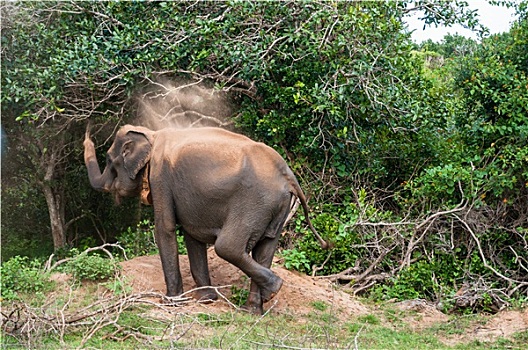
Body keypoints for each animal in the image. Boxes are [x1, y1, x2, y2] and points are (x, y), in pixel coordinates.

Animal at [84, 123, 328, 314]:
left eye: (109, 161)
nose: (87, 133)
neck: (151, 135)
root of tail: (288, 175)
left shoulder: (160, 177)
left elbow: (165, 228)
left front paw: (171, 302)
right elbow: (192, 234)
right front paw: (206, 300)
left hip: (254, 204)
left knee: (228, 247)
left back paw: (273, 288)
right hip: (275, 207)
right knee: (265, 249)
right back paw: (255, 308)